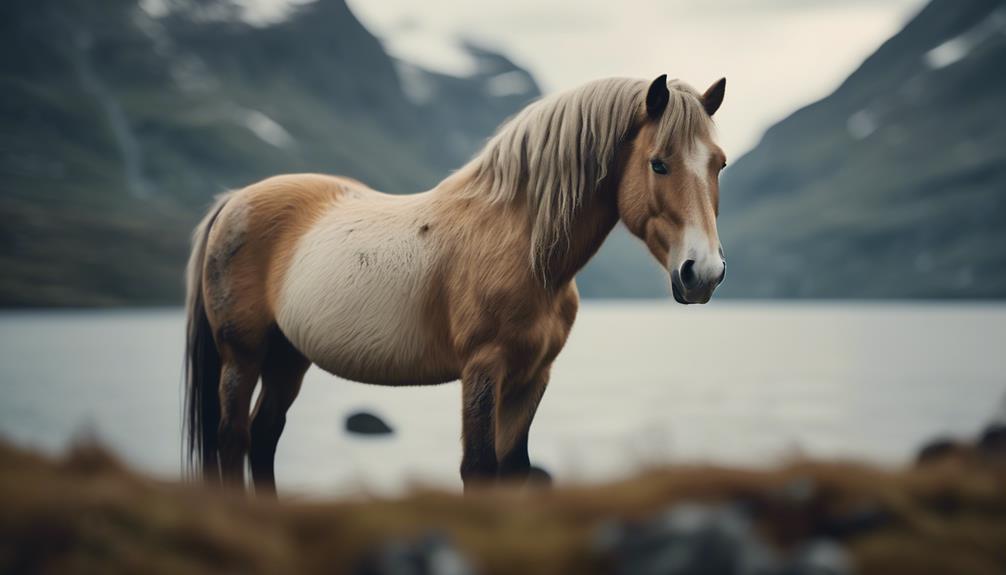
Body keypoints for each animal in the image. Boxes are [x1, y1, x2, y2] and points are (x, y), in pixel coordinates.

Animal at [185, 73, 728, 494]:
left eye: (718, 163)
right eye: (658, 162)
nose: (702, 273)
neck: (521, 245)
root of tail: (235, 200)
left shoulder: (532, 377)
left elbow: (514, 468)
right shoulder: (483, 369)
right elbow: (479, 468)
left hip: (288, 358)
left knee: (263, 438)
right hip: (242, 357)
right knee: (233, 439)